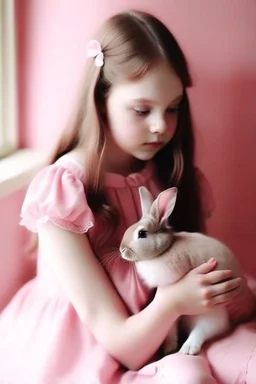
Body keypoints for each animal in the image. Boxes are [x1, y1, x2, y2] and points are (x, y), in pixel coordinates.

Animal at [119, 185, 255, 354]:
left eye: (142, 233)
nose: (122, 250)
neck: (165, 249)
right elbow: (171, 329)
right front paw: (169, 349)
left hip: (210, 315)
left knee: (202, 331)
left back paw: (187, 350)